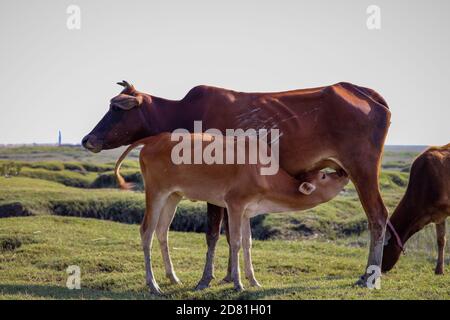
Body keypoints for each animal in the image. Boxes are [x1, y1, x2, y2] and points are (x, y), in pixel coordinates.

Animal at [113, 132, 352, 292]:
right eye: (324, 176)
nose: (343, 172)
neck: (262, 171)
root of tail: (151, 140)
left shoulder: (247, 211)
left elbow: (248, 243)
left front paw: (254, 280)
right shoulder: (235, 204)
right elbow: (235, 241)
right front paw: (238, 283)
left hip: (174, 195)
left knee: (162, 231)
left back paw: (173, 277)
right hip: (156, 192)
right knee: (146, 231)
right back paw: (153, 284)